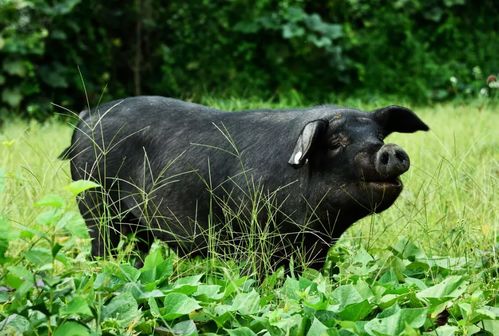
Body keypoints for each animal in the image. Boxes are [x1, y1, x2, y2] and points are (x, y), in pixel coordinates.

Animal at [61, 96, 430, 268]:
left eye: (379, 135)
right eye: (337, 141)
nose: (391, 150)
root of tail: (87, 117)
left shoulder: (315, 248)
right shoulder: (252, 238)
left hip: (136, 223)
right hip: (94, 203)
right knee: (101, 245)